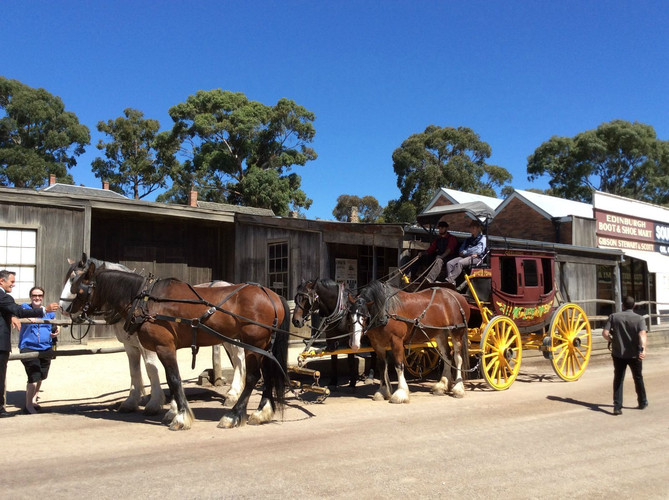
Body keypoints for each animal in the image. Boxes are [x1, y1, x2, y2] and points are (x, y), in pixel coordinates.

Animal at [62, 256, 290, 432]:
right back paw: (261, 412)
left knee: (252, 376)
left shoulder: (162, 347)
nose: (66, 309)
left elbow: (172, 379)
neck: (144, 300)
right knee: (267, 375)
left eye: (78, 287)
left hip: (253, 342)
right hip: (263, 345)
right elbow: (155, 376)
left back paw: (233, 414)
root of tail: (271, 294)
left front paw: (179, 416)